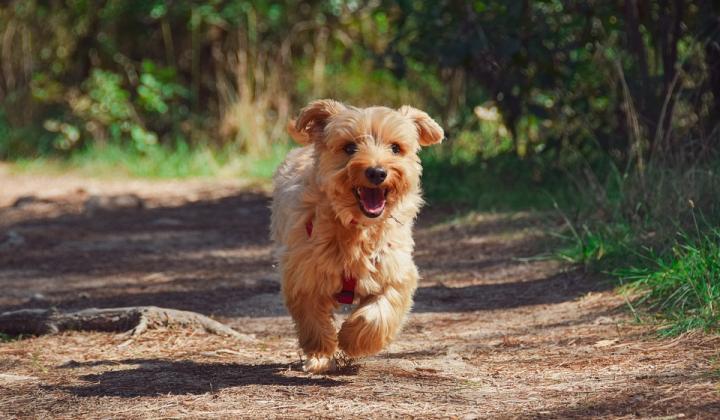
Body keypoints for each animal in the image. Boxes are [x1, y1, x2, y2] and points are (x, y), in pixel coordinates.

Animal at [270, 99, 442, 374]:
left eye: (396, 148)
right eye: (349, 147)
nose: (377, 172)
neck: (357, 228)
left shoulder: (395, 271)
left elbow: (380, 312)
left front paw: (352, 339)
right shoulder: (303, 274)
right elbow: (313, 320)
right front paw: (321, 353)